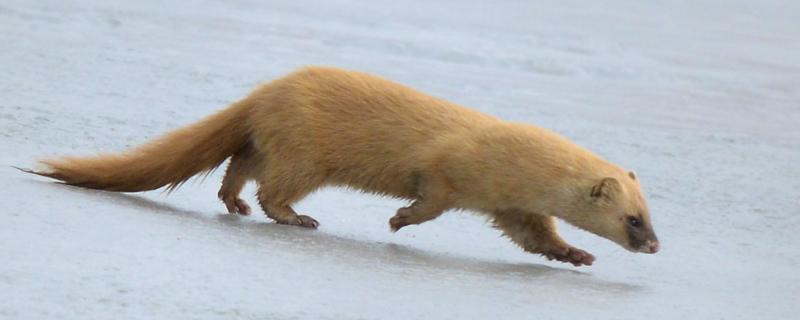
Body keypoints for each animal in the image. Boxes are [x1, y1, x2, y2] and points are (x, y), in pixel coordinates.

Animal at [28, 66, 660, 266]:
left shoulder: (510, 205)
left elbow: (534, 235)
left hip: (267, 141)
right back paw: (297, 218)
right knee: (273, 185)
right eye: (632, 219)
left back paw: (234, 202)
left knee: (238, 165)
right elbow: (431, 200)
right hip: (305, 154)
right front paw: (399, 220)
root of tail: (267, 91)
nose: (655, 246)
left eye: (650, 212)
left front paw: (577, 255)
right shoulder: (451, 169)